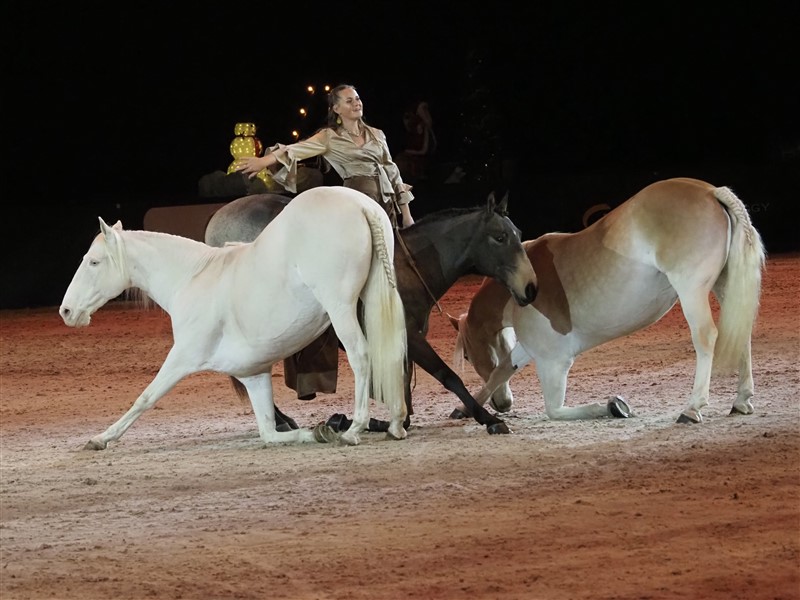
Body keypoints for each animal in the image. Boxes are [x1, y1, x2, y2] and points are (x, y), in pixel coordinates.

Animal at [61, 186, 410, 446]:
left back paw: (355, 429)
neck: (193, 278)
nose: (67, 311)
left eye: (93, 262)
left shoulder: (183, 356)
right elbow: (269, 433)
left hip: (341, 308)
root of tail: (360, 204)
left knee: (361, 355)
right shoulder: (254, 376)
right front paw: (312, 432)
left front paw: (101, 438)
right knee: (392, 353)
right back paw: (394, 424)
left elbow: (145, 397)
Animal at [446, 177, 764, 422]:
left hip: (692, 291)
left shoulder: (554, 361)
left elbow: (554, 409)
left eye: (466, 355)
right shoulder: (530, 349)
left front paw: (613, 406)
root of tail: (711, 191)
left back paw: (692, 408)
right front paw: (464, 408)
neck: (521, 288)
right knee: (740, 332)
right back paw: (741, 401)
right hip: (725, 287)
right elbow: (501, 371)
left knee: (706, 336)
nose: (503, 404)